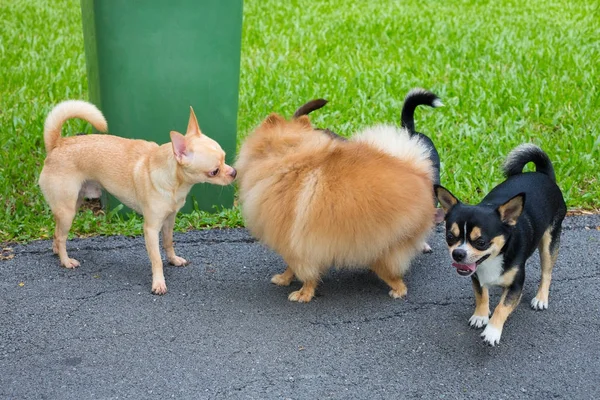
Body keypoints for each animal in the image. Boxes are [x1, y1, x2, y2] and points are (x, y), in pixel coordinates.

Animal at [38, 100, 237, 294]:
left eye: (225, 158)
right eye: (214, 171)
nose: (234, 172)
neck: (174, 181)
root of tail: (57, 144)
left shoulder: (169, 220)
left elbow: (168, 242)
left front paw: (173, 259)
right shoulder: (151, 229)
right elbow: (156, 259)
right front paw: (158, 283)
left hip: (73, 203)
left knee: (57, 231)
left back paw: (56, 251)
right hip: (68, 211)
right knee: (61, 236)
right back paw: (65, 260)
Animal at [234, 111, 436, 302]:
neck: (290, 157)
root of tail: (419, 174)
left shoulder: (296, 242)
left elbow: (303, 270)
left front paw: (303, 293)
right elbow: (292, 267)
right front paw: (284, 279)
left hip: (383, 242)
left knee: (394, 274)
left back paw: (397, 289)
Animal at [434, 145, 564, 346]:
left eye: (481, 242)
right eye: (450, 237)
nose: (458, 253)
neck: (492, 260)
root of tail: (543, 174)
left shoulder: (516, 286)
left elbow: (502, 307)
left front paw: (492, 331)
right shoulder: (476, 276)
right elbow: (481, 295)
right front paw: (480, 315)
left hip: (550, 241)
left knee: (547, 272)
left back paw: (541, 297)